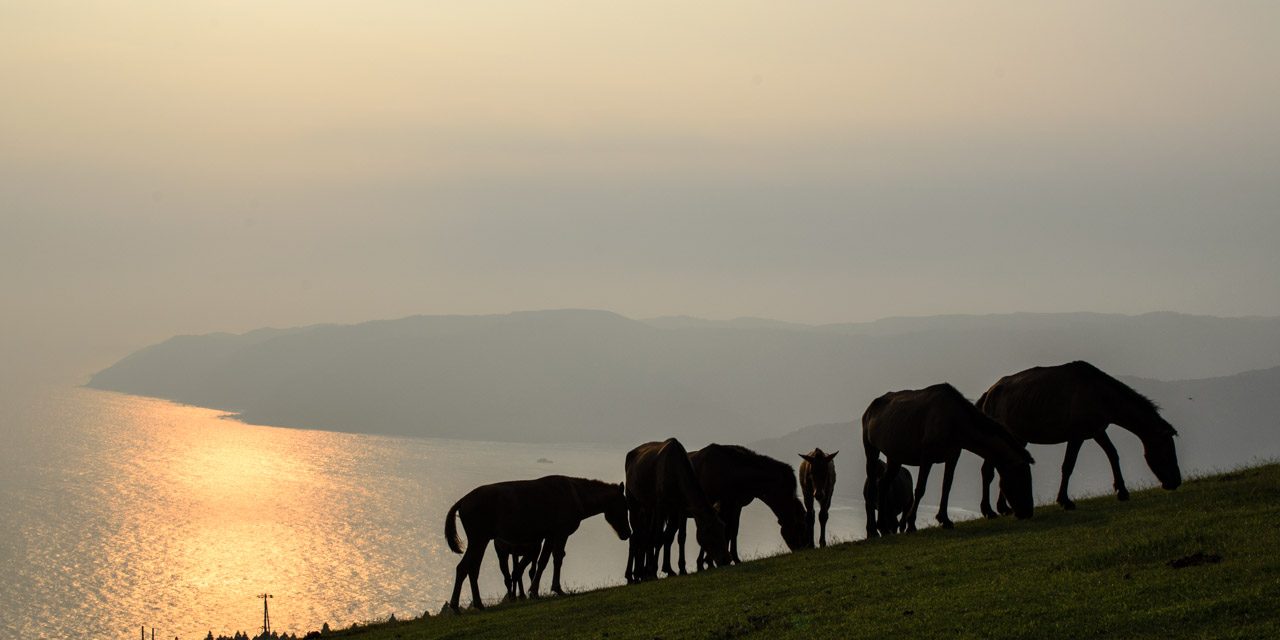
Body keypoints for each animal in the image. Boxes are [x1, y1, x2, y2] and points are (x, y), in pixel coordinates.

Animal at [444, 475, 630, 610]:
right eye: (625, 506)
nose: (627, 533)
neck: (575, 494)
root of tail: (462, 501)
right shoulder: (560, 533)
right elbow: (557, 558)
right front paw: (557, 589)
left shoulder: (549, 536)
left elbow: (542, 562)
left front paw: (534, 591)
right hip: (479, 540)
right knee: (466, 568)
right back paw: (462, 605)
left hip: (479, 541)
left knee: (470, 569)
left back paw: (472, 604)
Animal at [624, 438, 729, 582]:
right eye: (709, 531)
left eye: (723, 527)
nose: (726, 559)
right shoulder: (661, 505)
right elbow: (658, 538)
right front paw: (653, 572)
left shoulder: (681, 507)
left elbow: (680, 537)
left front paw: (681, 568)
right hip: (634, 502)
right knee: (636, 537)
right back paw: (632, 575)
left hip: (648, 507)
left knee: (645, 536)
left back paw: (640, 573)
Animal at [663, 444, 810, 573]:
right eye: (801, 526)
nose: (803, 547)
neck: (731, 471)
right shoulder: (718, 507)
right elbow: (719, 531)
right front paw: (706, 562)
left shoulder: (735, 505)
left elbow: (732, 531)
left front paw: (733, 558)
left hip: (674, 516)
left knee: (668, 536)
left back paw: (669, 569)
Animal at [863, 383, 1035, 537]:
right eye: (1021, 479)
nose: (1027, 512)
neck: (954, 420)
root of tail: (870, 409)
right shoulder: (927, 457)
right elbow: (920, 489)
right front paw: (911, 525)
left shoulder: (952, 456)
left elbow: (947, 486)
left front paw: (944, 519)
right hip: (871, 450)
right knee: (872, 488)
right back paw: (872, 531)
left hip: (894, 458)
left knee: (883, 485)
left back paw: (883, 527)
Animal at [977, 360, 1181, 515]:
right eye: (1167, 451)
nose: (1176, 481)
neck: (1099, 393)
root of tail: (989, 393)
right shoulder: (1076, 436)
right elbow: (1068, 466)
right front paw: (1065, 501)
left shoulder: (1097, 432)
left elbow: (1113, 454)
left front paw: (1122, 491)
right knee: (987, 471)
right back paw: (989, 511)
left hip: (1018, 438)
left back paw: (1004, 507)